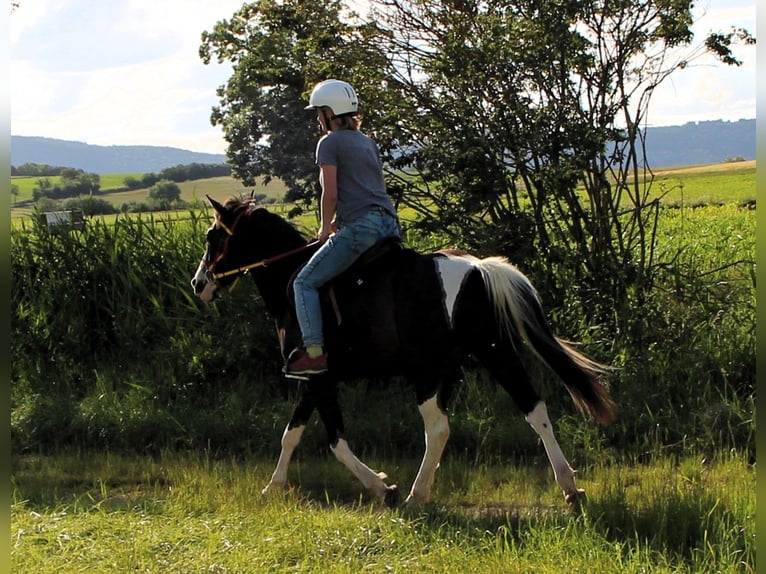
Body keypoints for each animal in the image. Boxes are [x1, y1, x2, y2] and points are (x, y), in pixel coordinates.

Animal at [190, 197, 616, 508]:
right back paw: (570, 487)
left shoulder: (318, 377)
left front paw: (382, 487)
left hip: (432, 372)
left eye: (213, 236)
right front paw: (273, 486)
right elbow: (291, 435)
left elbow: (334, 441)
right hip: (489, 357)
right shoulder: (312, 380)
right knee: (534, 409)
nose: (198, 283)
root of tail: (482, 269)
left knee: (439, 428)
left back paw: (415, 494)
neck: (290, 281)